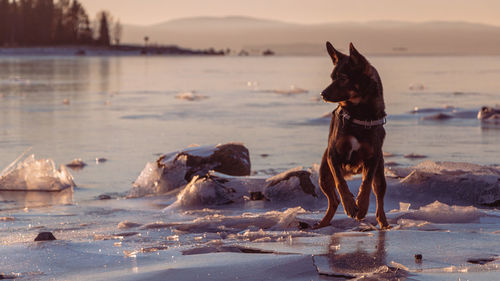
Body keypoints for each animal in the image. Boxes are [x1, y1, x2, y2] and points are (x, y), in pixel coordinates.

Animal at [316, 41, 390, 229]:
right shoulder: (333, 156)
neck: (359, 113)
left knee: (379, 196)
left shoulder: (373, 157)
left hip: (380, 172)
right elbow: (340, 183)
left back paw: (384, 222)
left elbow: (366, 183)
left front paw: (362, 206)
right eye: (332, 77)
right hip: (323, 175)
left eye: (343, 78)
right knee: (333, 200)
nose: (322, 94)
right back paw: (323, 223)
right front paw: (350, 205)